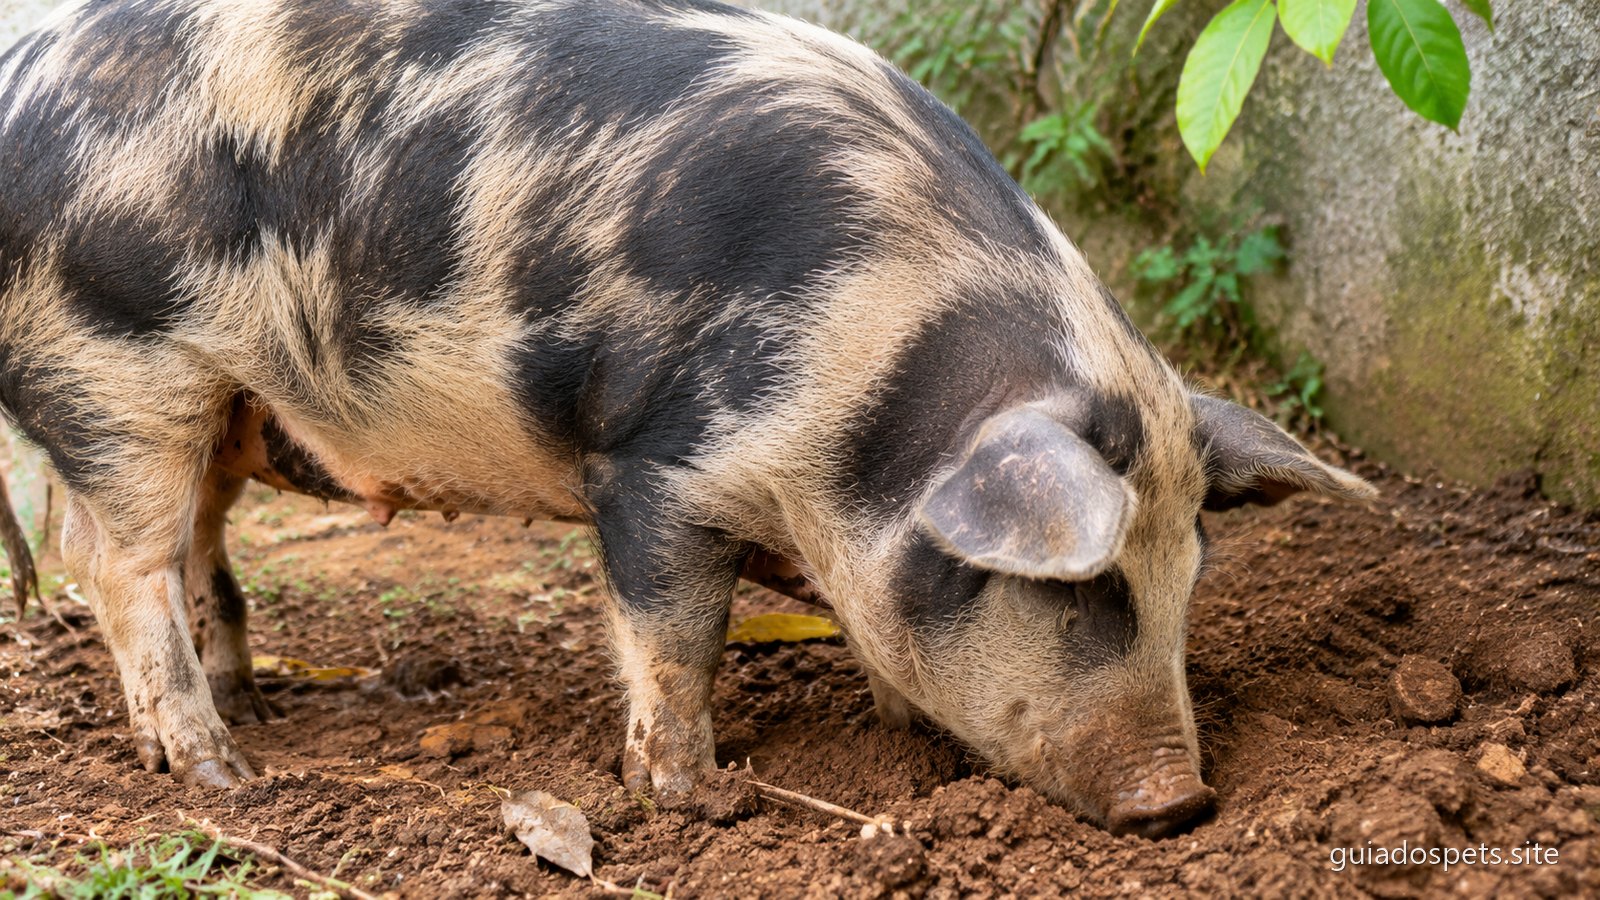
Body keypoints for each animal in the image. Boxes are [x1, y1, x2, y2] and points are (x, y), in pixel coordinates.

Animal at [0, 0, 1374, 837]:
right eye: (1079, 587)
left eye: (1186, 577)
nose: (1178, 803)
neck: (873, 400)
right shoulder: (653, 462)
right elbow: (675, 633)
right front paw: (688, 795)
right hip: (114, 363)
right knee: (112, 559)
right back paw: (222, 769)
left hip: (222, 403)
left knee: (194, 545)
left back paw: (254, 705)